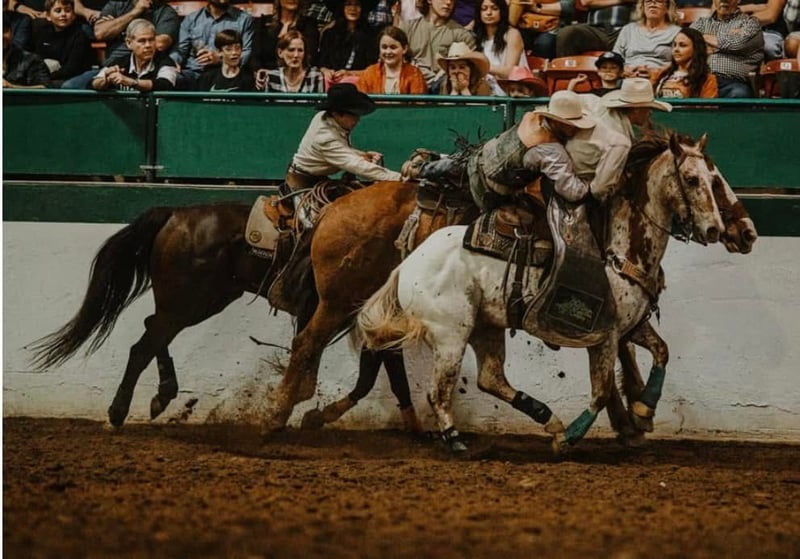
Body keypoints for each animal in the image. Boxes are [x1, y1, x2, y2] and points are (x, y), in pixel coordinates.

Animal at [355, 133, 729, 453]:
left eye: (714, 179)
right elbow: (600, 391)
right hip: (451, 334)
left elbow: (661, 351)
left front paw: (644, 408)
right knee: (439, 391)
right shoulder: (605, 335)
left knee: (491, 379)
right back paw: (457, 439)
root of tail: (407, 266)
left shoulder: (631, 326)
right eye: (691, 180)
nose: (715, 229)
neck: (619, 246)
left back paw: (549, 420)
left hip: (486, 327)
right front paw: (572, 438)